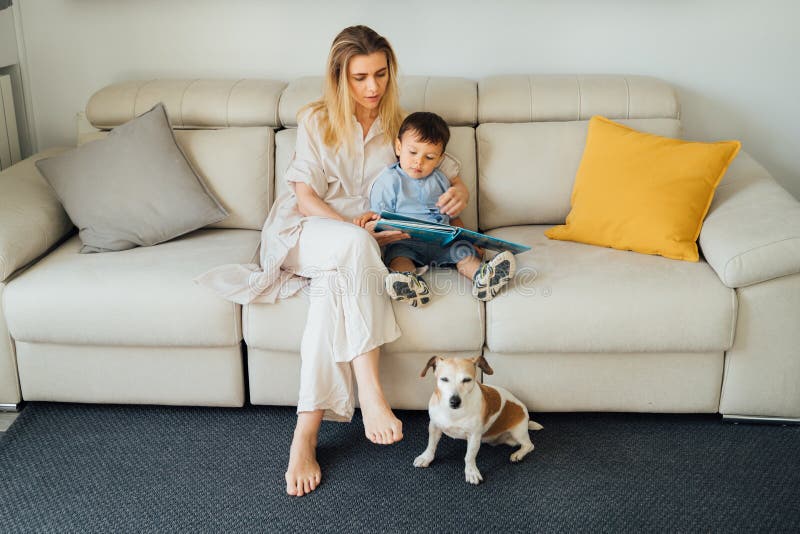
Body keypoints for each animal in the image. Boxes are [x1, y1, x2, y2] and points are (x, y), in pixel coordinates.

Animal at [412, 356, 544, 486]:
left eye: (466, 380)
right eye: (444, 379)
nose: (454, 401)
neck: (453, 413)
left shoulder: (474, 436)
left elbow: (469, 456)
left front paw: (471, 472)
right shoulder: (434, 427)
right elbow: (431, 445)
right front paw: (426, 457)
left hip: (518, 432)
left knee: (529, 445)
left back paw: (518, 454)